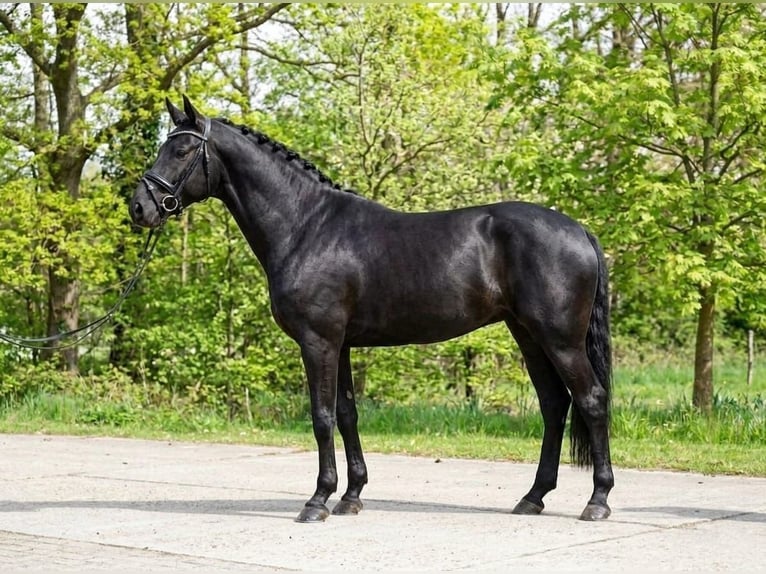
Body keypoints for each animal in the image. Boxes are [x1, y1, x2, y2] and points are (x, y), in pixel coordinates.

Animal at [130, 96, 614, 522]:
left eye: (181, 149)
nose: (139, 207)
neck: (306, 226)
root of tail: (579, 230)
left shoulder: (318, 342)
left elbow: (322, 417)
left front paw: (317, 501)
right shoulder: (340, 344)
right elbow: (347, 414)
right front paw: (351, 496)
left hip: (560, 339)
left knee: (591, 400)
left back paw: (598, 500)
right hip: (528, 335)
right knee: (554, 405)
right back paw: (533, 497)